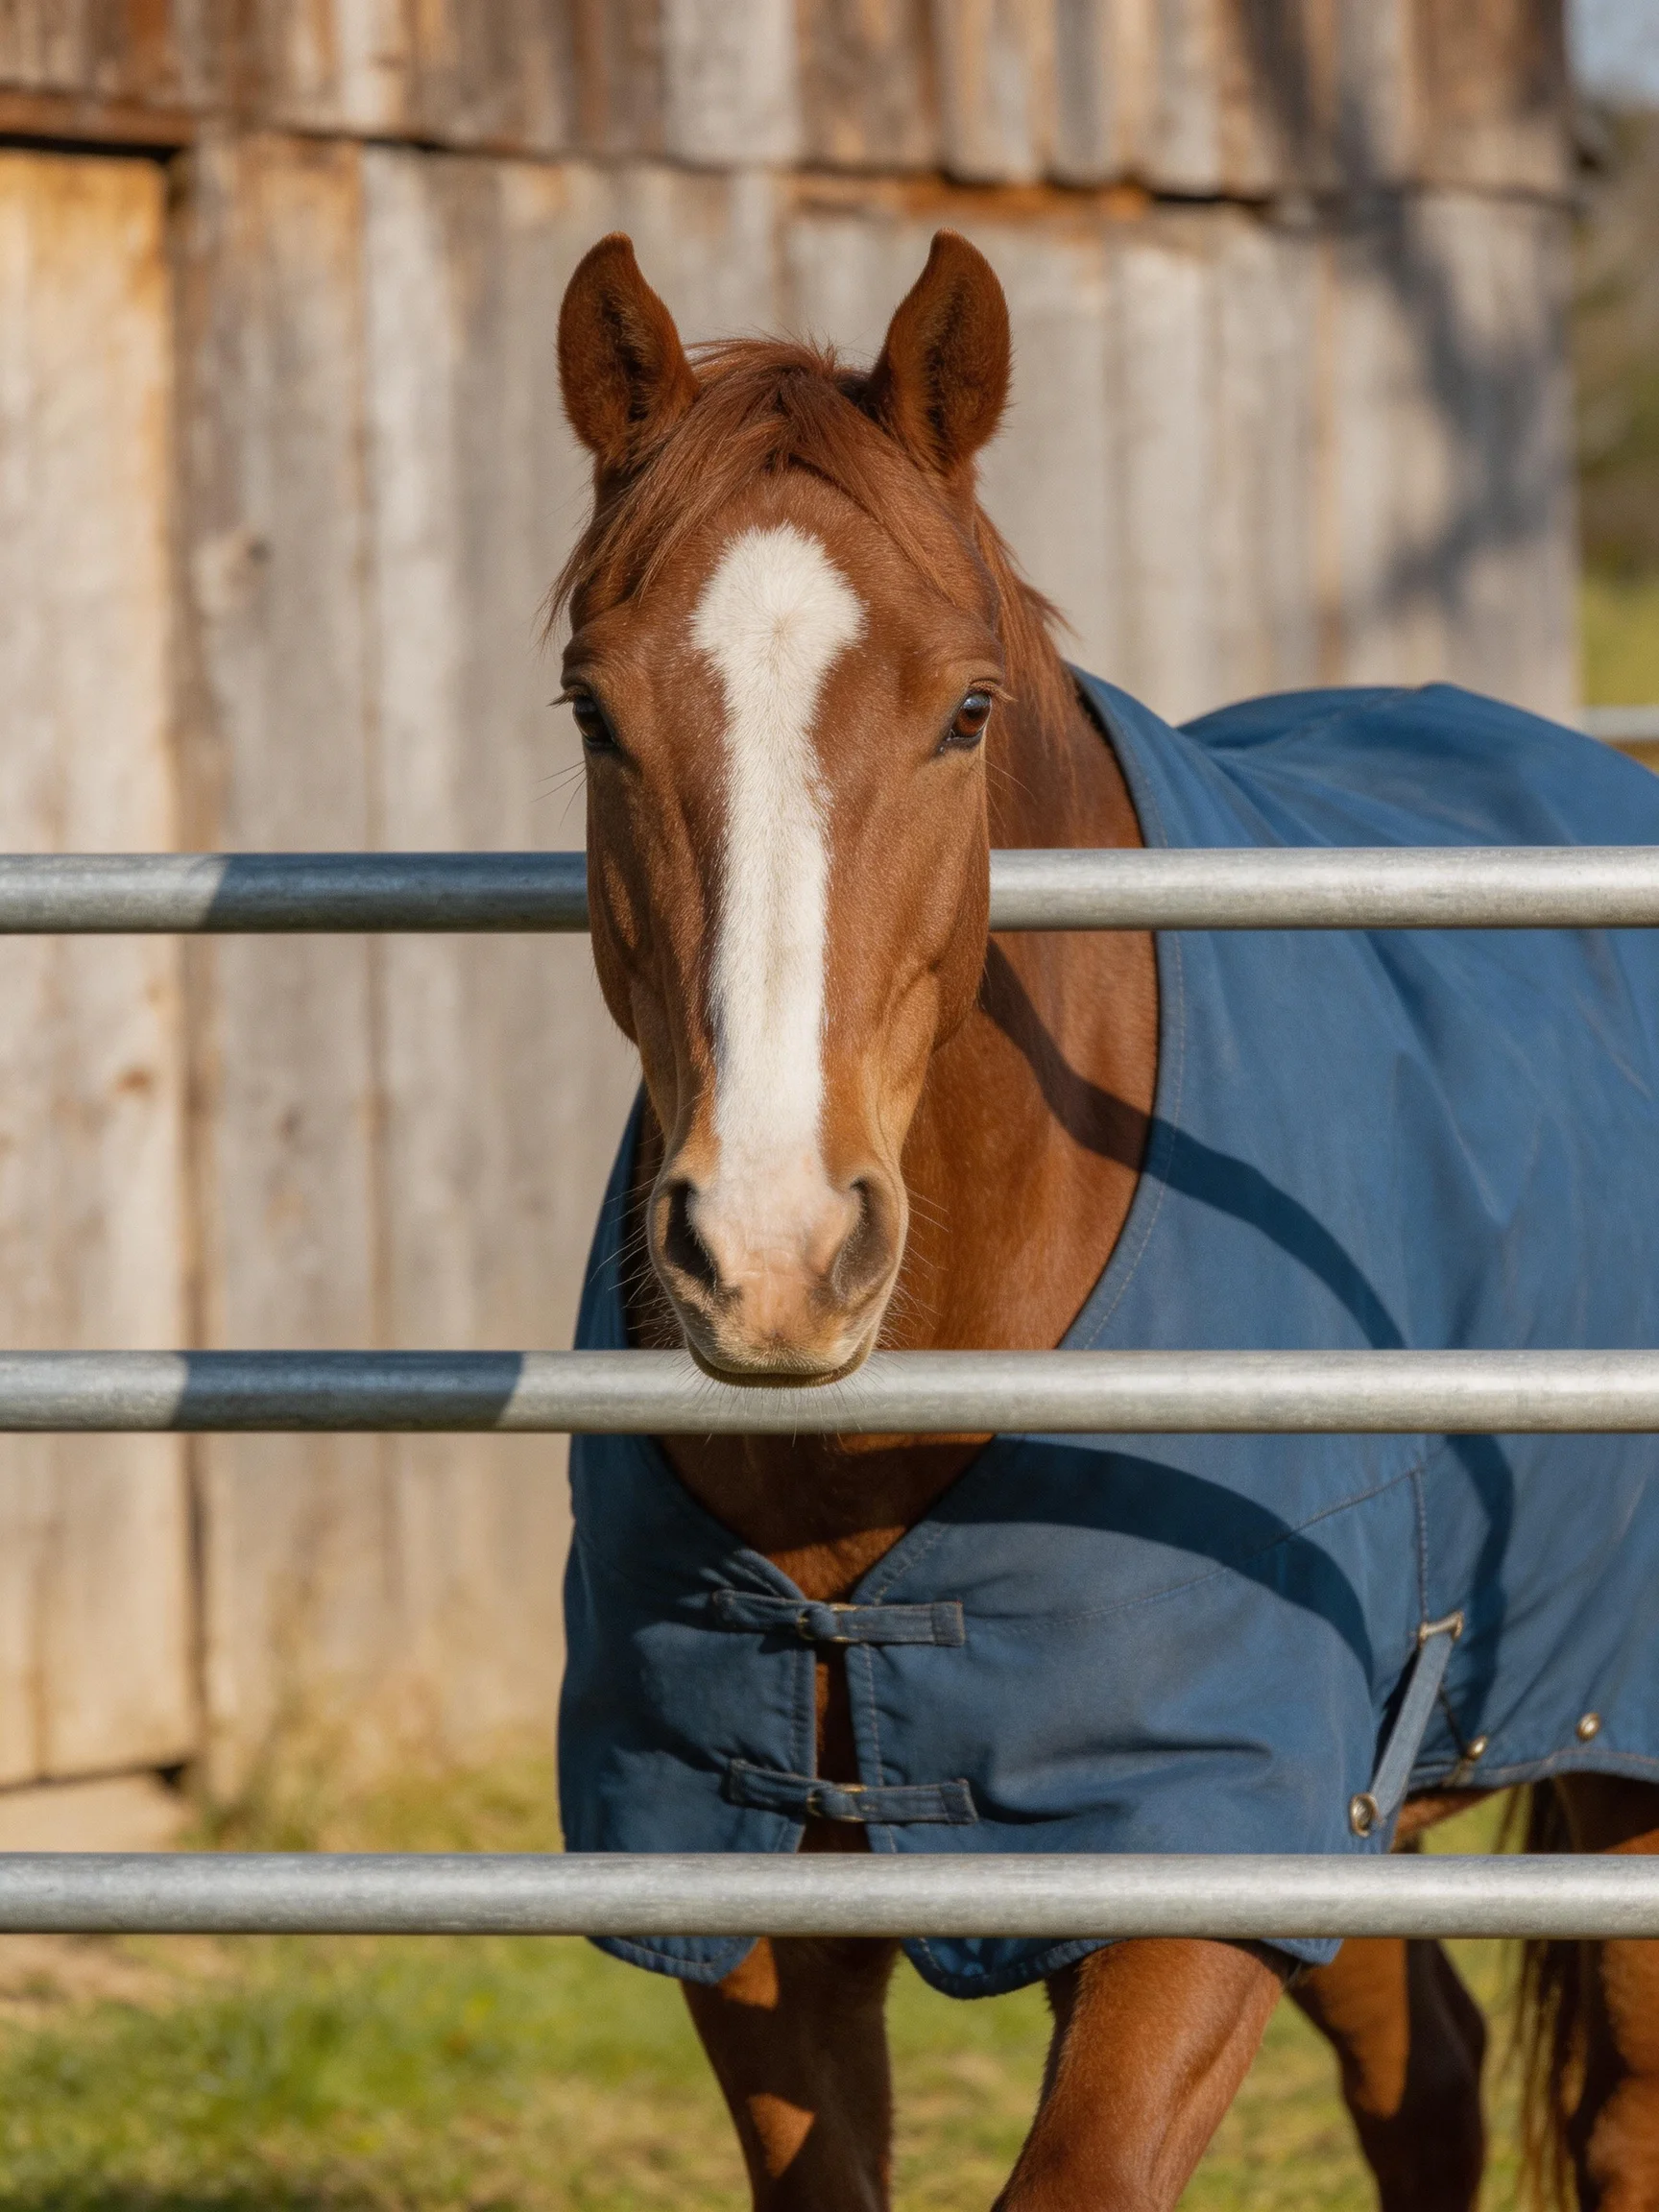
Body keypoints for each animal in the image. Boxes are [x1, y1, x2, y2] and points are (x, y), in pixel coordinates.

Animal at [550, 226, 1659, 2210]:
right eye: (594, 710)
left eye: (964, 709)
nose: (770, 1257)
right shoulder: (748, 1891)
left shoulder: (1187, 1863)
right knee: (1430, 2074)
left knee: (1615, 2117)